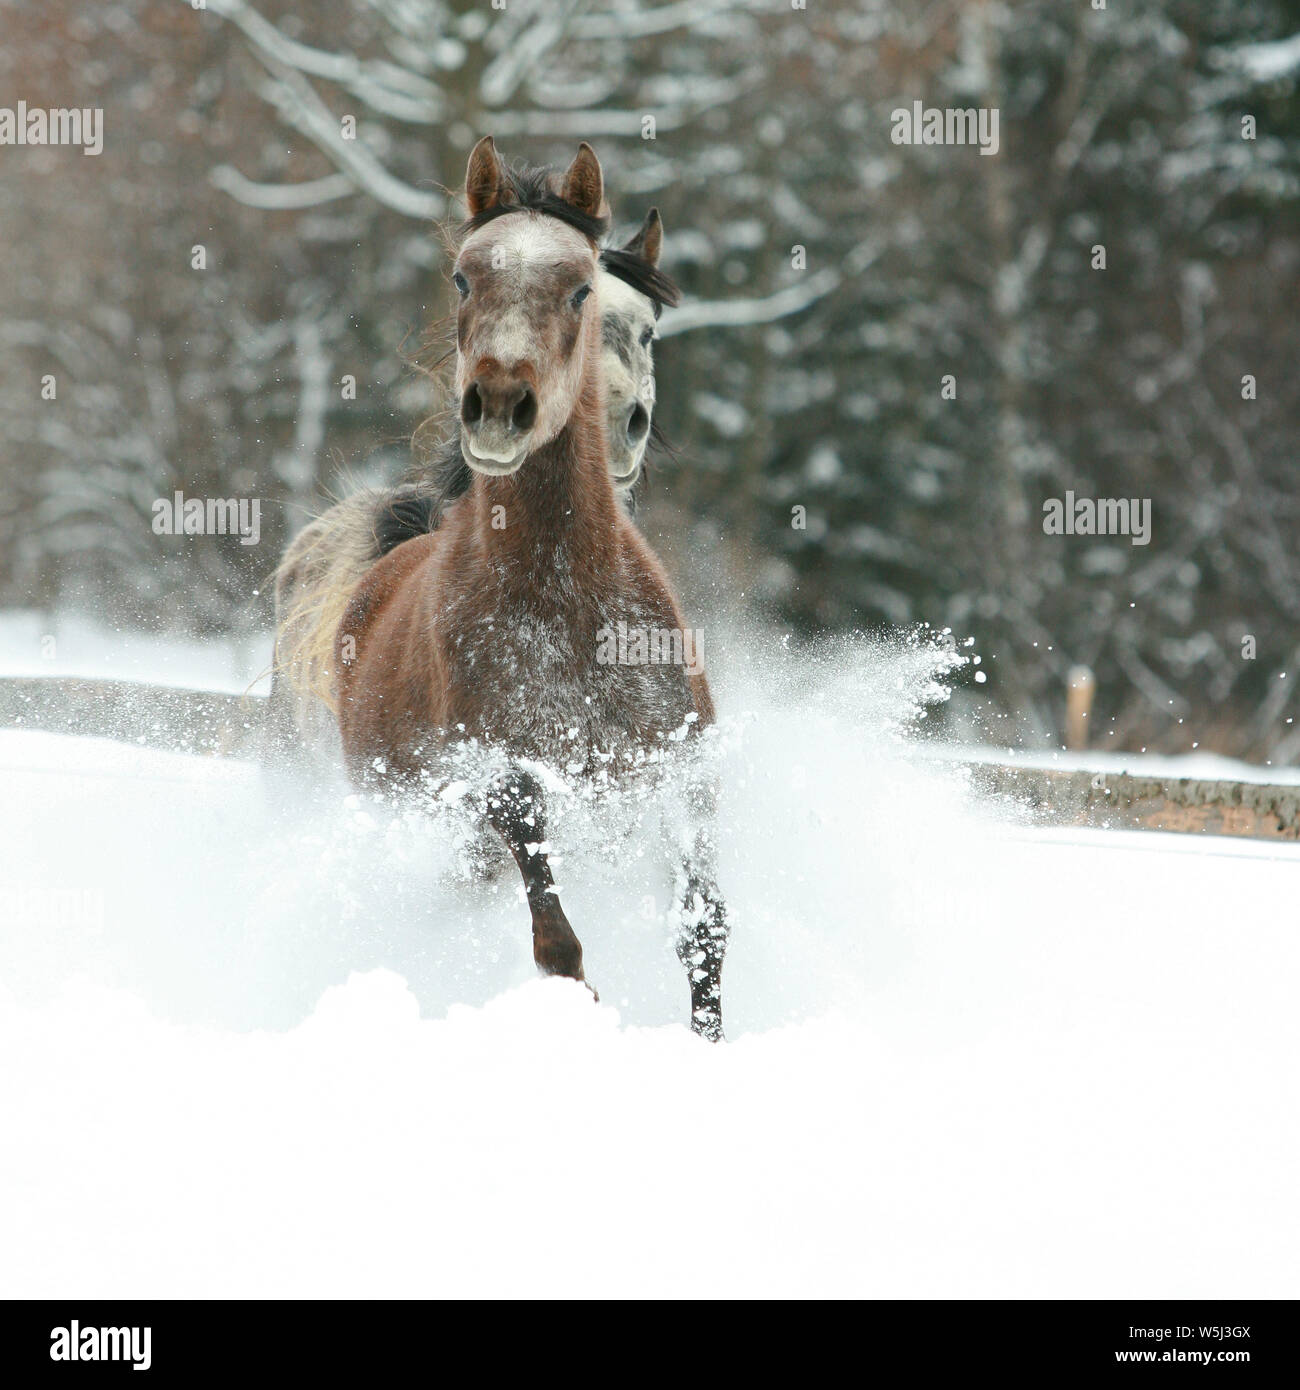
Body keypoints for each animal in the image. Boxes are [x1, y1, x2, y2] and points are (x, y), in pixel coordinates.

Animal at [272, 139, 729, 1040]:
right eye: (463, 277)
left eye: (581, 287)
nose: (499, 405)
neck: (568, 607)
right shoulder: (506, 780)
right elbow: (558, 941)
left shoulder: (674, 771)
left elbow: (703, 929)